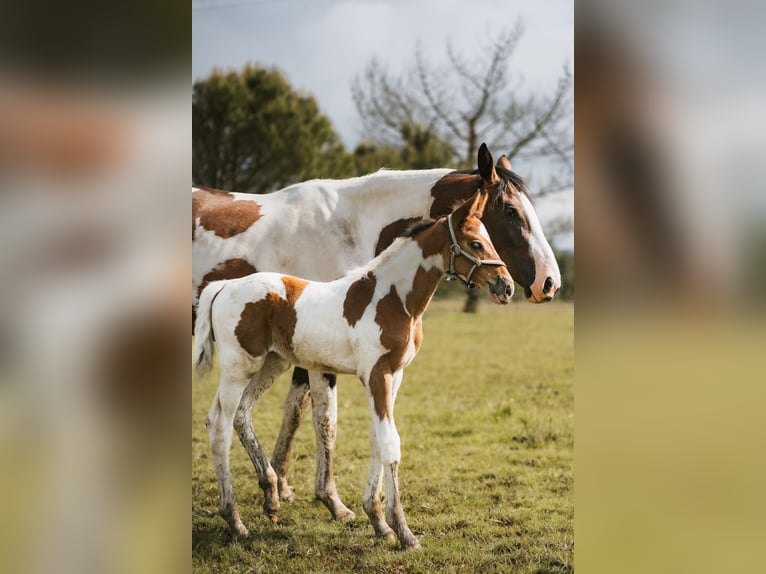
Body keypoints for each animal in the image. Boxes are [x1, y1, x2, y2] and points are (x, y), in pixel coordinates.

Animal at [195, 191, 512, 552]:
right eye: (475, 243)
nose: (506, 286)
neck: (392, 297)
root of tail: (223, 287)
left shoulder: (394, 375)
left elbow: (376, 438)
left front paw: (379, 522)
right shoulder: (375, 374)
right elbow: (390, 444)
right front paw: (404, 532)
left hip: (272, 362)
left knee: (242, 414)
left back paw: (272, 500)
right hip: (239, 366)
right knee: (218, 424)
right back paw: (235, 521)